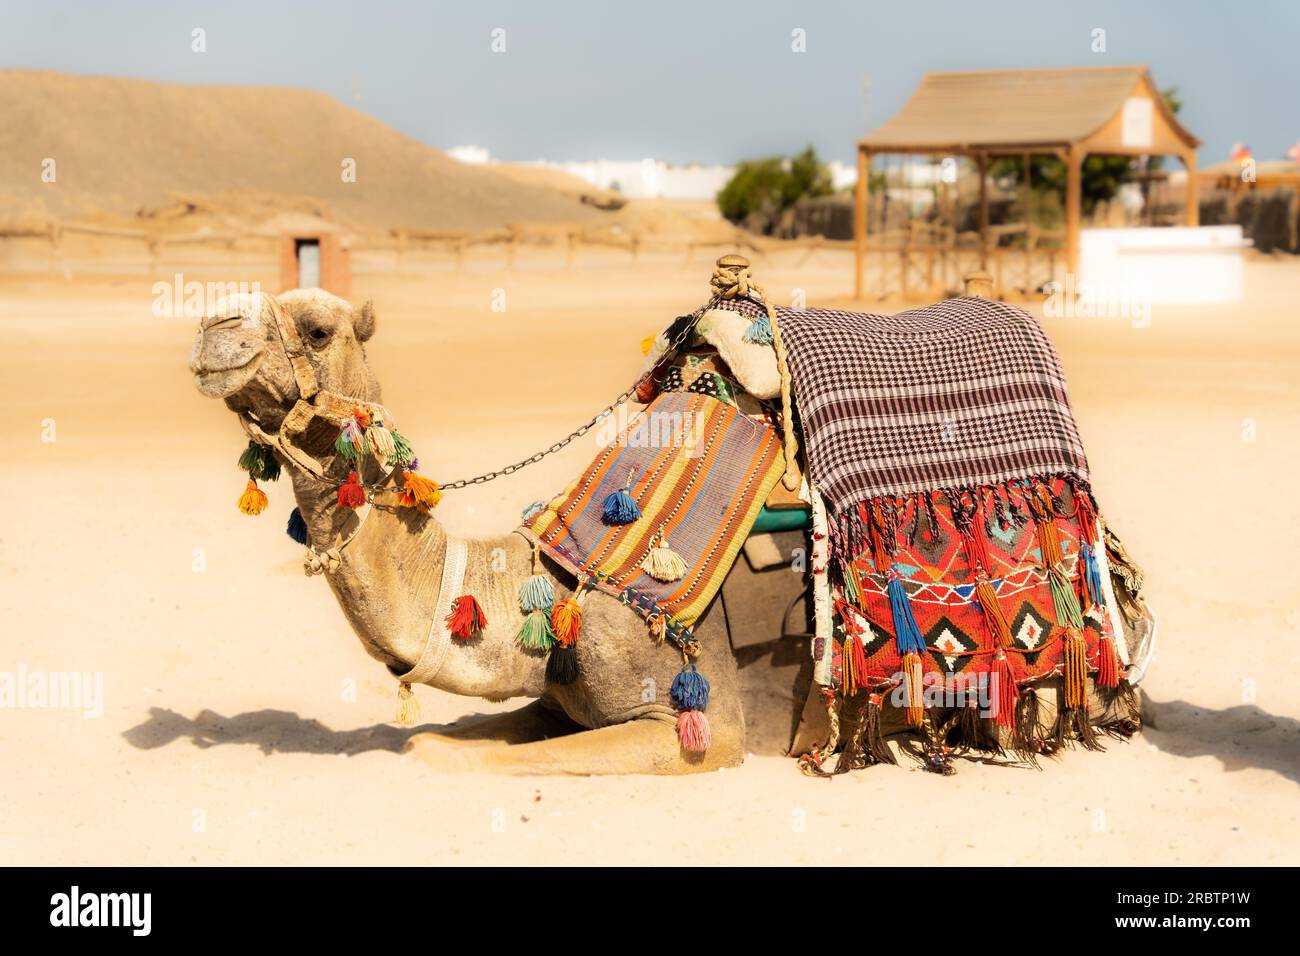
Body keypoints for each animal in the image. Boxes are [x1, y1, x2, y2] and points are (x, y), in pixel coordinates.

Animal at [189, 286, 1149, 780]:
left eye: (317, 327)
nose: (211, 328)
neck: (549, 582)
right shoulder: (557, 698)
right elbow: (451, 738)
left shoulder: (699, 724)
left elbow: (457, 759)